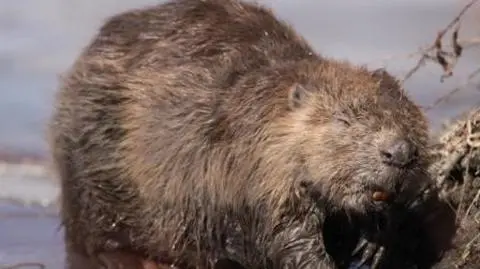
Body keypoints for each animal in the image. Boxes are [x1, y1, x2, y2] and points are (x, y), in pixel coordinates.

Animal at [46, 0, 454, 266]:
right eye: (345, 121)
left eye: (410, 117)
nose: (399, 153)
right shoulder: (246, 173)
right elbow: (279, 236)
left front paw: (372, 244)